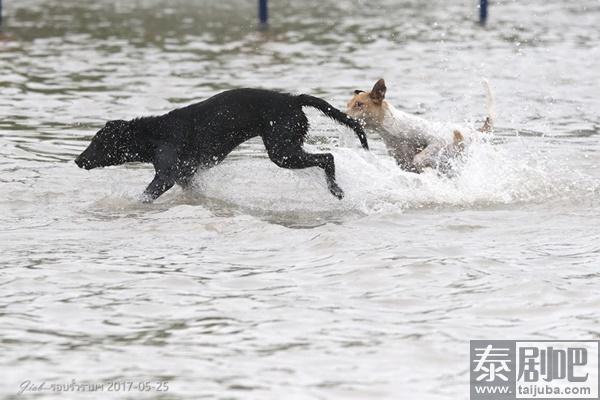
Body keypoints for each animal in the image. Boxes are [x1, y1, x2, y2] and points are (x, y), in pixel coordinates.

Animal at [74, 88, 366, 200]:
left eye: (98, 142)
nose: (78, 160)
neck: (154, 133)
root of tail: (293, 99)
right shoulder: (186, 176)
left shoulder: (166, 176)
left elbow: (145, 195)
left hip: (282, 151)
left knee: (327, 158)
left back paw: (336, 190)